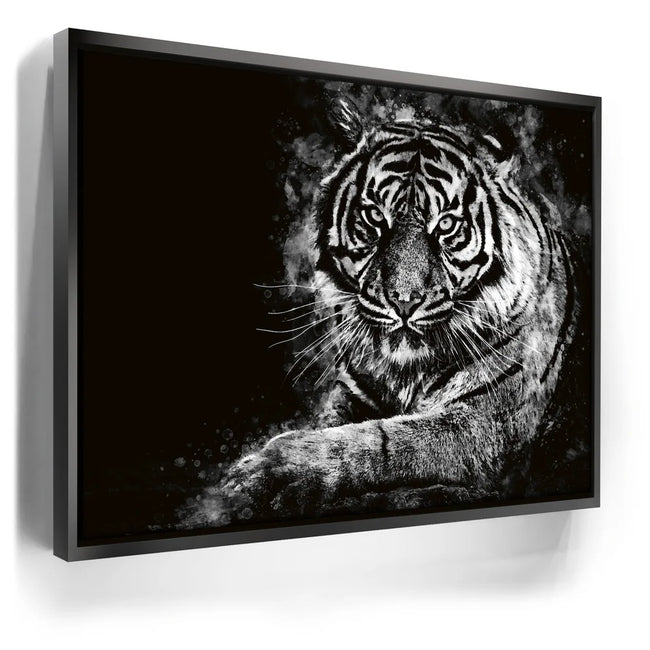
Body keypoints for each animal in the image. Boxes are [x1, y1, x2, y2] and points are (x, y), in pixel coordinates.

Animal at [204, 96, 590, 523]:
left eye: (447, 225)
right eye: (375, 217)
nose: (404, 300)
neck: (404, 370)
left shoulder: (483, 423)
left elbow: (380, 440)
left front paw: (269, 470)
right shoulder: (354, 392)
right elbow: (335, 426)